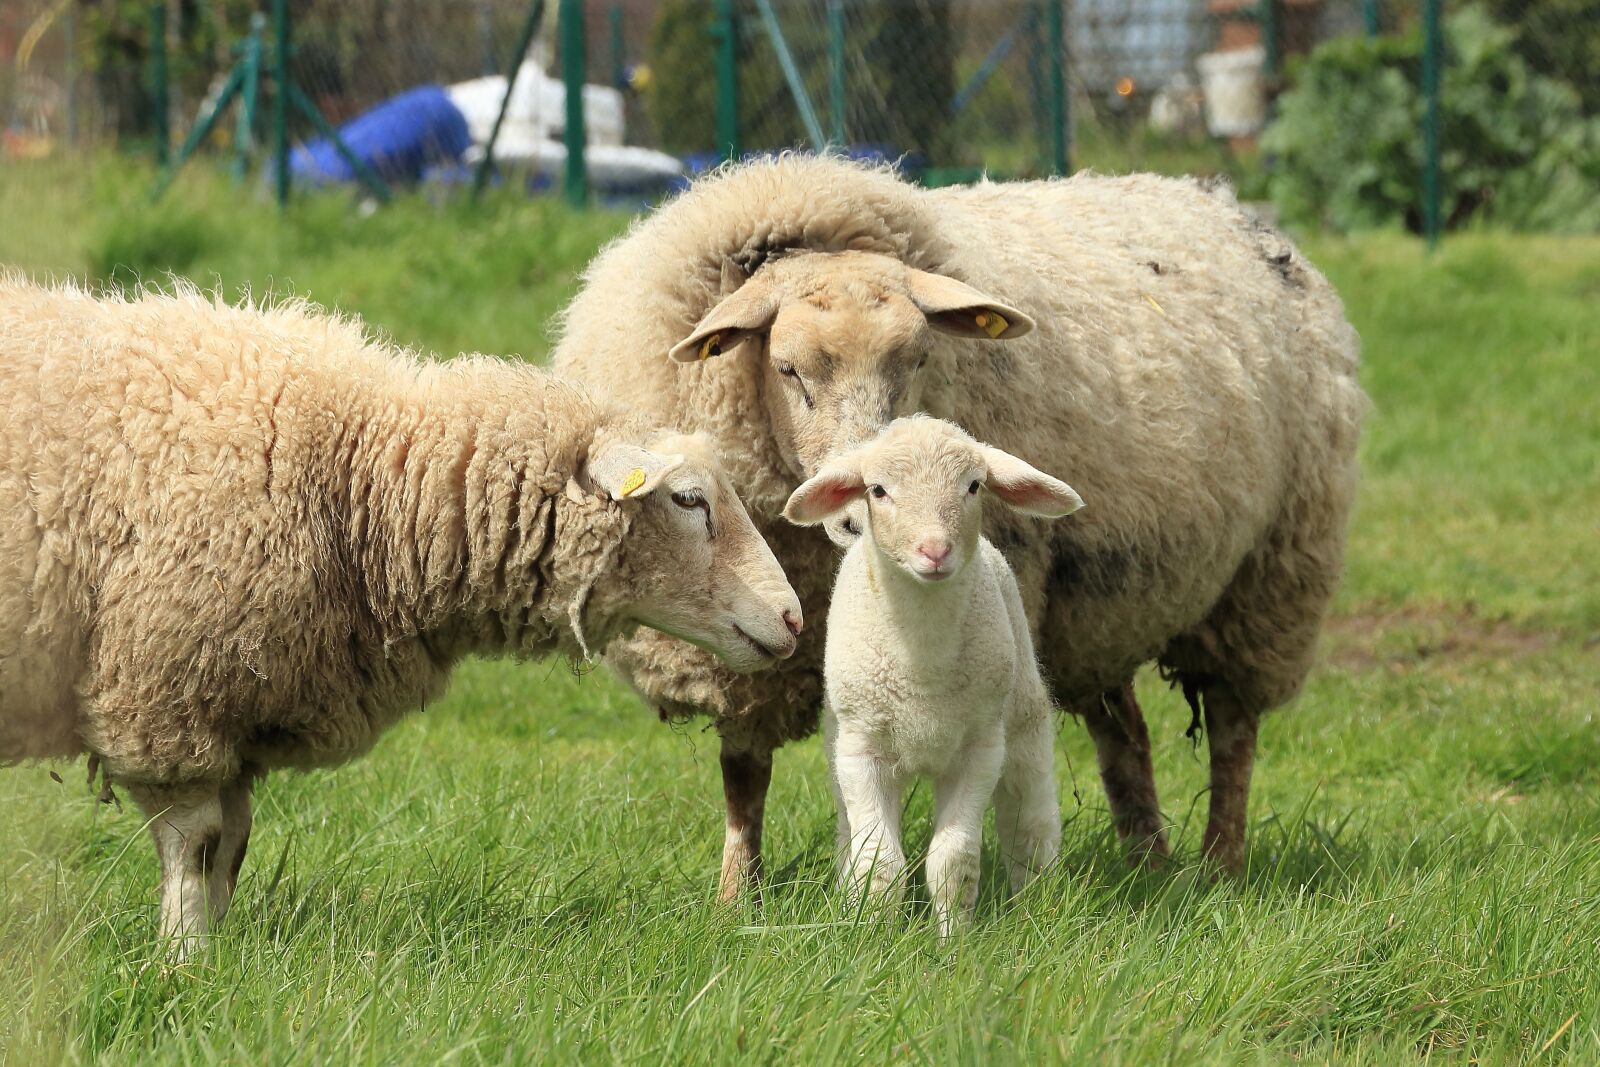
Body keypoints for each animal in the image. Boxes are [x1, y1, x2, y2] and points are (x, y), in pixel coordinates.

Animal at [0, 277, 802, 955]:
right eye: (689, 499)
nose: (794, 618)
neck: (361, 474)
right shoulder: (166, 694)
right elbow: (195, 842)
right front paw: (184, 959)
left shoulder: (233, 701)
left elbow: (233, 841)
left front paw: (222, 954)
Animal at [784, 417, 1083, 935]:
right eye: (878, 490)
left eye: (974, 485)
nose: (935, 550)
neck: (922, 664)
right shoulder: (861, 751)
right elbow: (878, 861)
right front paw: (872, 934)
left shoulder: (979, 751)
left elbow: (953, 860)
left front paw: (954, 941)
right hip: (839, 740)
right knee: (848, 831)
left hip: (1021, 719)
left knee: (1030, 819)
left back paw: (1038, 903)